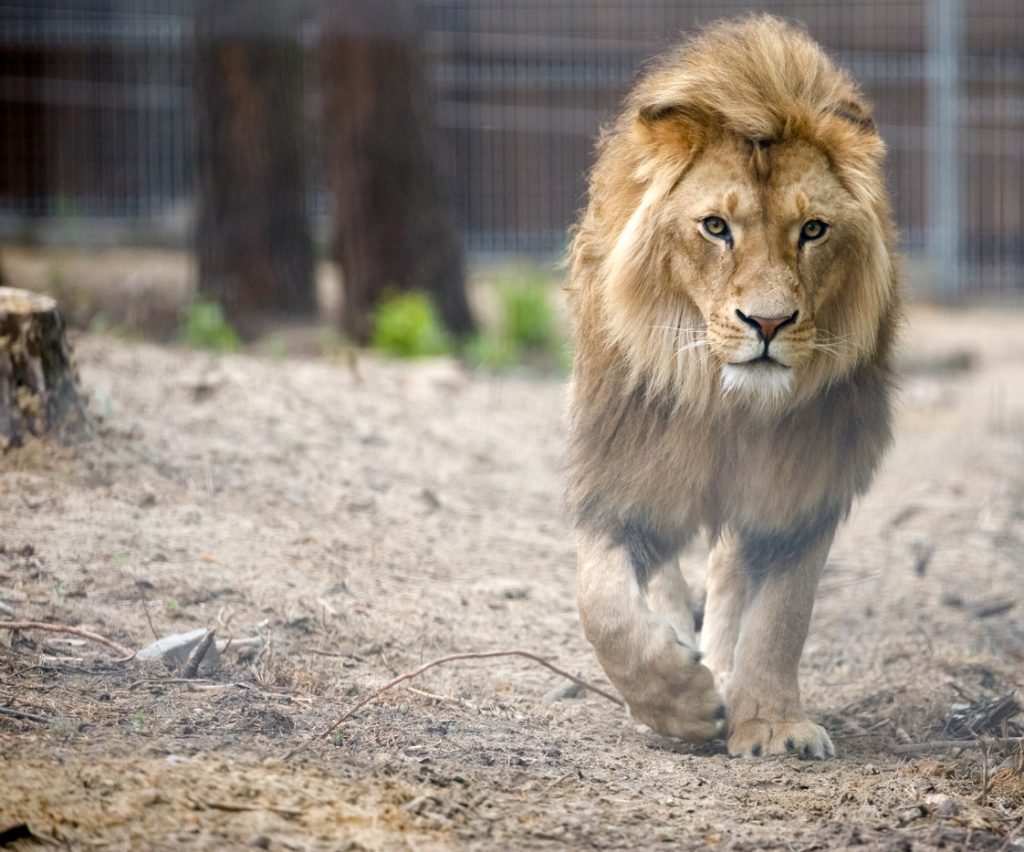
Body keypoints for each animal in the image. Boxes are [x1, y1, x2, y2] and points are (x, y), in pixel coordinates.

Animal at [569, 14, 897, 757]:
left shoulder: (801, 486)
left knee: (727, 573)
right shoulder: (623, 470)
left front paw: (771, 722)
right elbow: (602, 604)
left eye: (813, 229)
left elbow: (781, 615)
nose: (768, 323)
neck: (728, 406)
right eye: (715, 226)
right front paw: (678, 701)